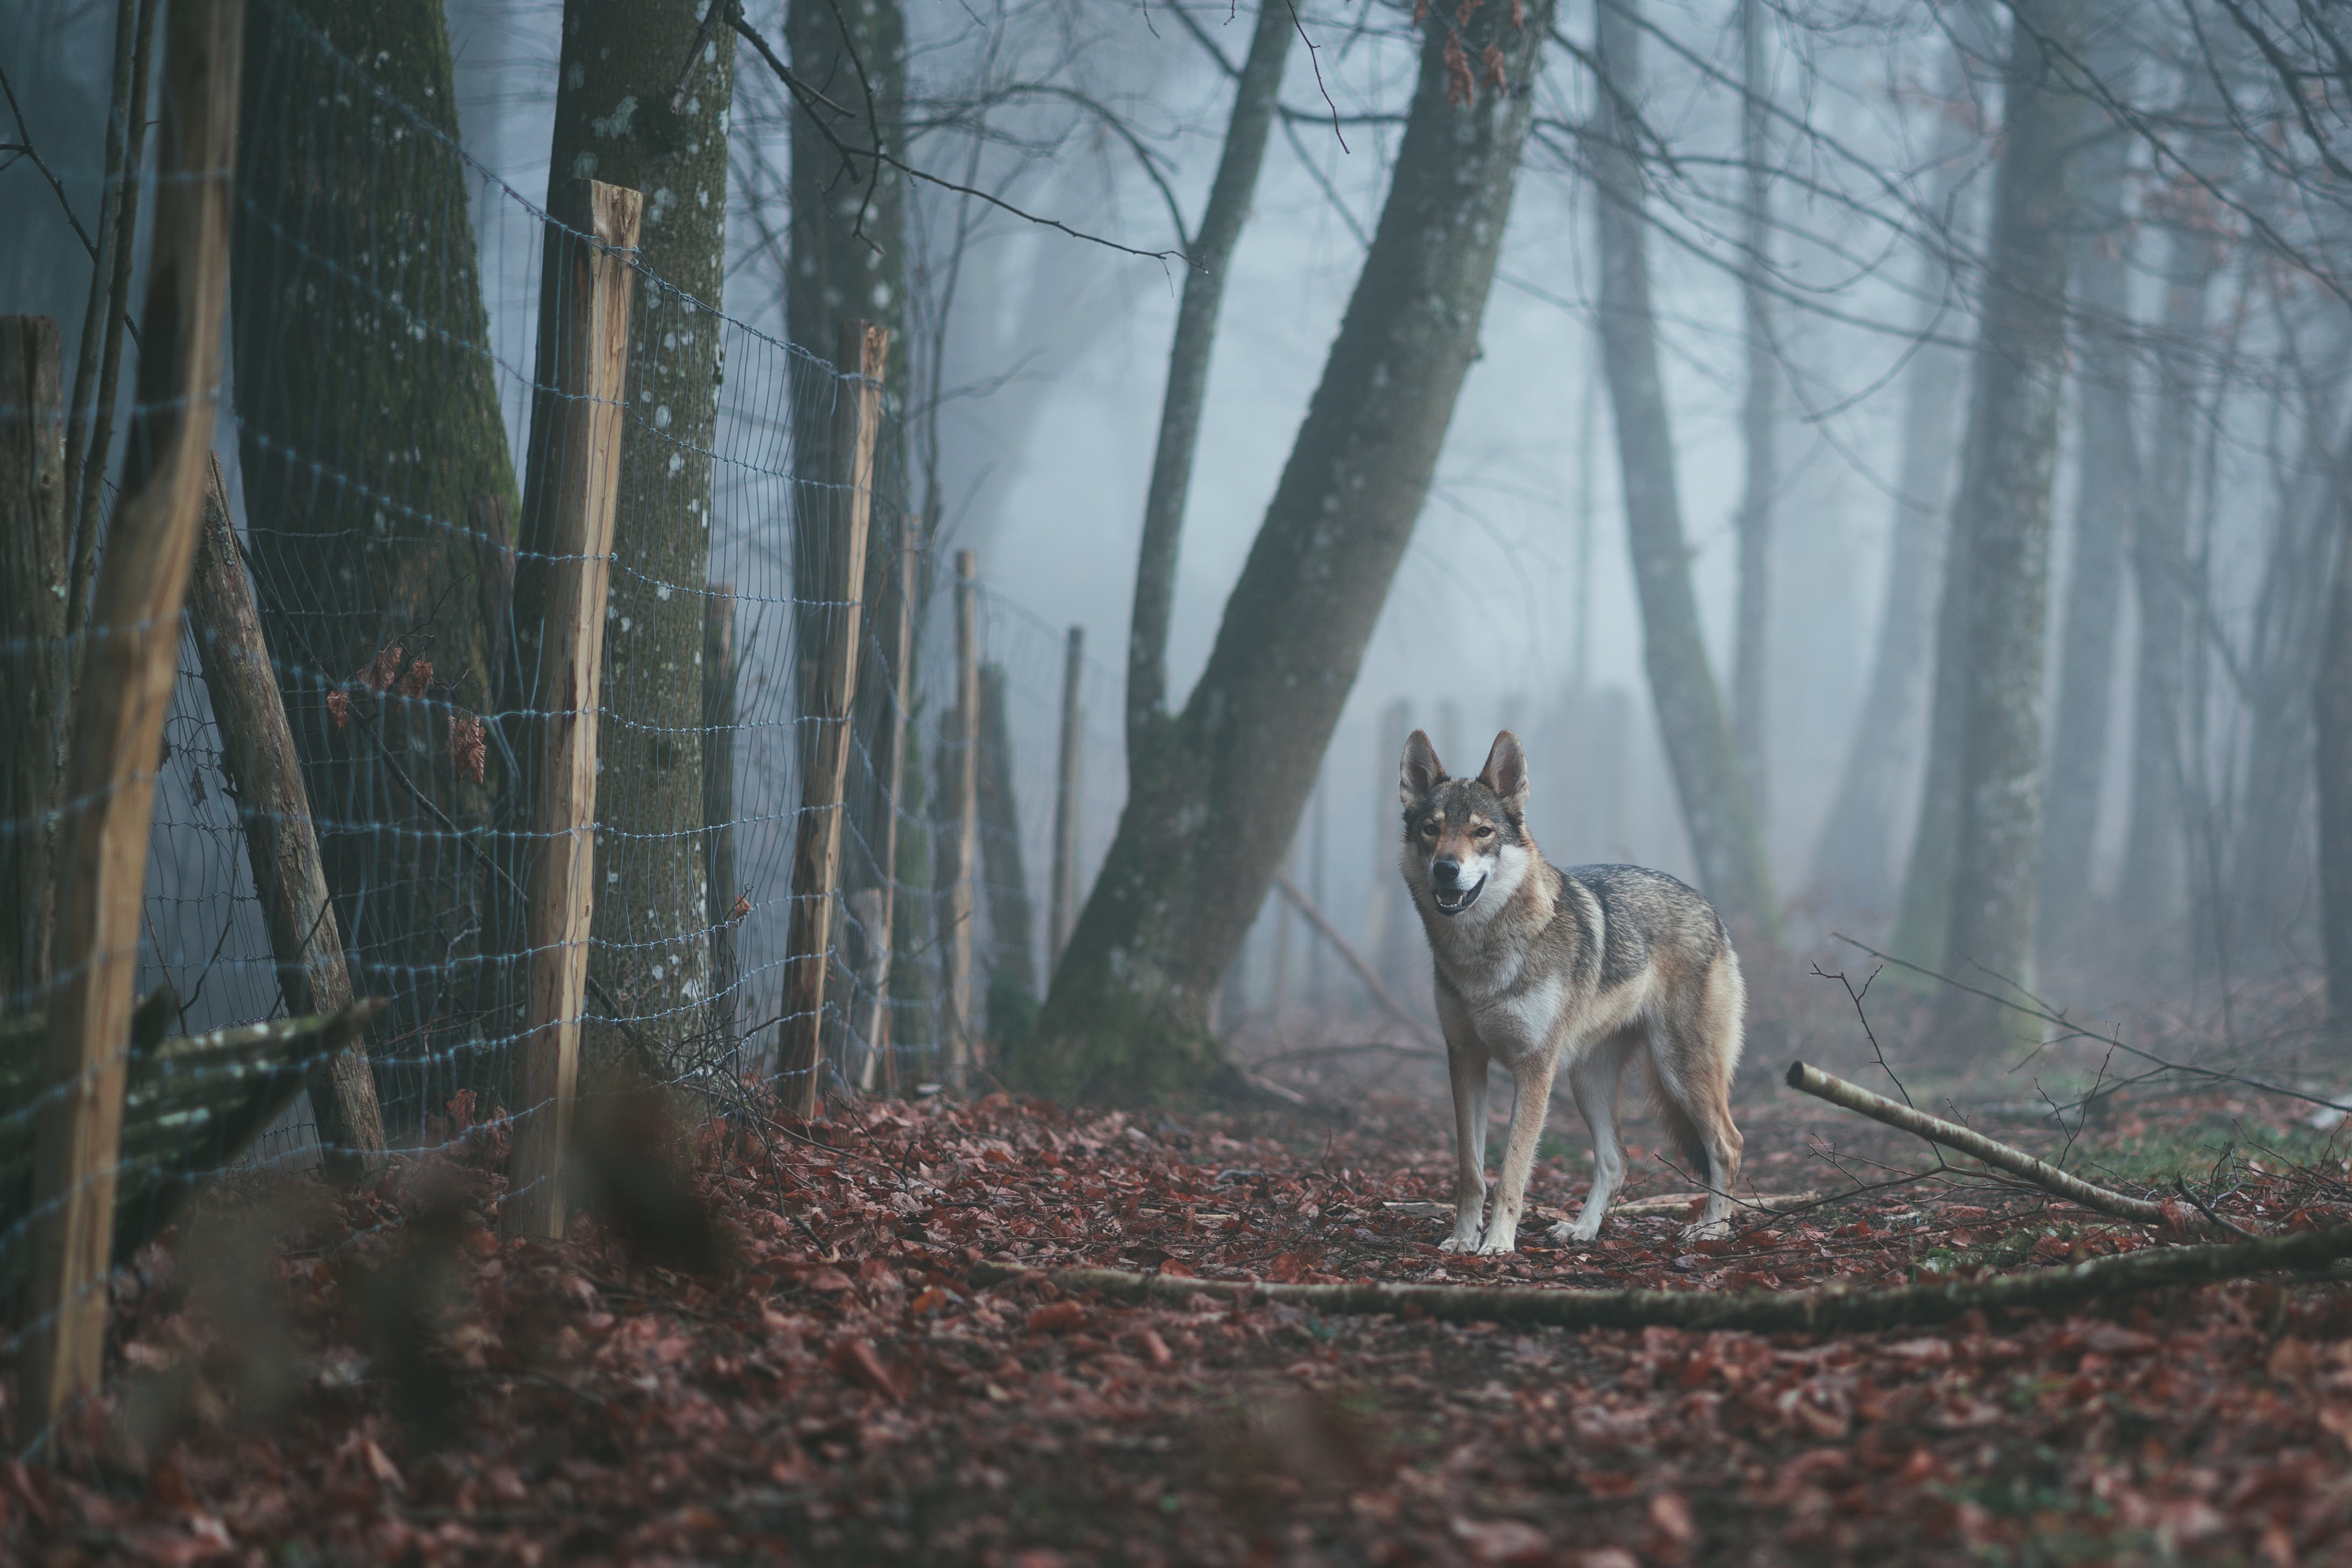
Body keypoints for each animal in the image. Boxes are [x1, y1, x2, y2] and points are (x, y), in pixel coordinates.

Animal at [1399, 729, 1745, 1254]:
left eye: (1482, 832)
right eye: (1430, 830)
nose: (1445, 869)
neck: (1482, 956)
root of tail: (1710, 908)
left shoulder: (1534, 1068)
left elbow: (1513, 1170)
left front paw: (1497, 1244)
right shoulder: (1465, 1059)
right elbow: (1472, 1172)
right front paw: (1462, 1239)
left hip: (1680, 1069)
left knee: (1728, 1145)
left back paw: (1711, 1229)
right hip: (1590, 1080)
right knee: (1616, 1157)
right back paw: (1582, 1230)